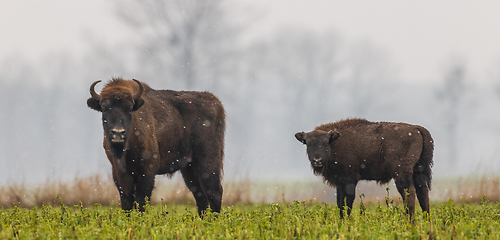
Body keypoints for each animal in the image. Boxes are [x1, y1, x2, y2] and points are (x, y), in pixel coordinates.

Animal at [87, 78, 225, 215]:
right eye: (104, 108)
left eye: (130, 108)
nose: (118, 133)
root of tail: (217, 103)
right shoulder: (119, 172)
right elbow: (127, 201)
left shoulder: (147, 170)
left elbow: (142, 200)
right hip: (189, 168)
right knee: (200, 194)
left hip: (208, 162)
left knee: (214, 191)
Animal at [294, 118, 432, 219]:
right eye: (308, 143)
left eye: (325, 143)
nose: (317, 160)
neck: (335, 143)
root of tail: (416, 129)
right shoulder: (340, 183)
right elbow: (340, 203)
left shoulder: (349, 180)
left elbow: (347, 203)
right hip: (418, 172)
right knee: (423, 194)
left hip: (401, 174)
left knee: (409, 194)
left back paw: (410, 221)